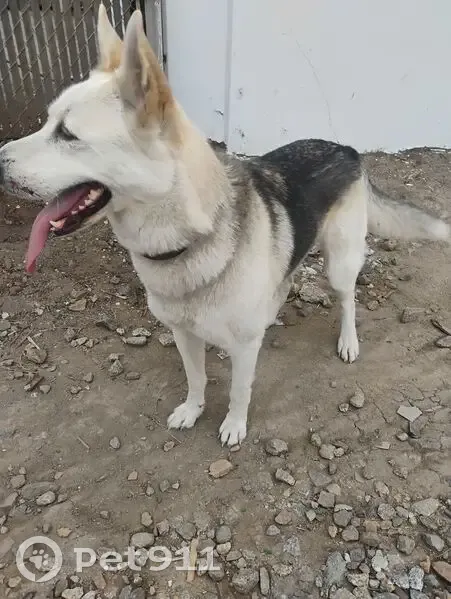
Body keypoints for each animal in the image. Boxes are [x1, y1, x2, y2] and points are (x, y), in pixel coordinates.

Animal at [0, 6, 449, 446]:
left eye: (67, 134)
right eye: (47, 122)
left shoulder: (244, 348)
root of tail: (347, 148)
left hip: (340, 262)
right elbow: (196, 378)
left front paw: (234, 424)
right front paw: (192, 410)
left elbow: (238, 389)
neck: (189, 239)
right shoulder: (183, 334)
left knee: (348, 299)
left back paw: (349, 340)